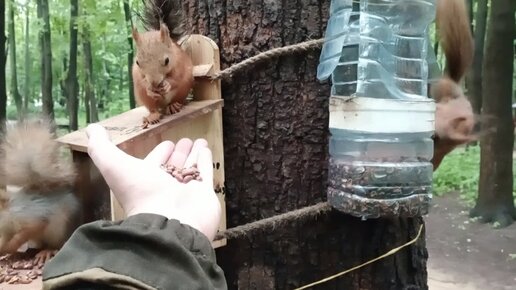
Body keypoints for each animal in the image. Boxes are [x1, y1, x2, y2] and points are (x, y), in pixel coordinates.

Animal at [0, 118, 80, 266]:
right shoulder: (6, 231)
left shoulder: (30, 215)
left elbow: (29, 230)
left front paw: (9, 247)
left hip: (59, 229)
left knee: (56, 244)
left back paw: (47, 251)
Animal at [131, 0, 194, 128]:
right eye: (137, 62)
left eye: (167, 61)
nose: (154, 83)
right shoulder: (137, 74)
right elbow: (142, 81)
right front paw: (150, 88)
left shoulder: (180, 64)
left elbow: (176, 78)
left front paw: (167, 85)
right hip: (143, 96)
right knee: (153, 108)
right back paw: (153, 116)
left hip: (183, 89)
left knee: (177, 100)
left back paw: (173, 106)